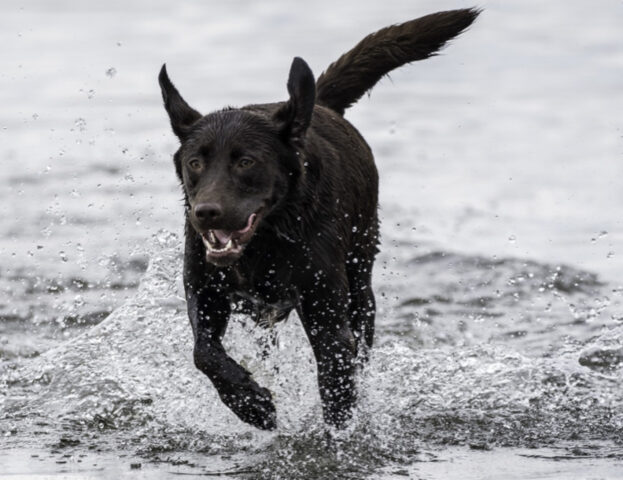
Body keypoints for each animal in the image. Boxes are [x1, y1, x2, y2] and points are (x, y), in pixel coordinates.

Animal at [158, 7, 480, 430]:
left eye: (246, 162)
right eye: (195, 162)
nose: (205, 213)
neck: (268, 239)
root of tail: (319, 106)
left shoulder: (328, 317)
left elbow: (337, 387)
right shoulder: (205, 290)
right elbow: (204, 352)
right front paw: (251, 403)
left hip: (360, 285)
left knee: (361, 345)